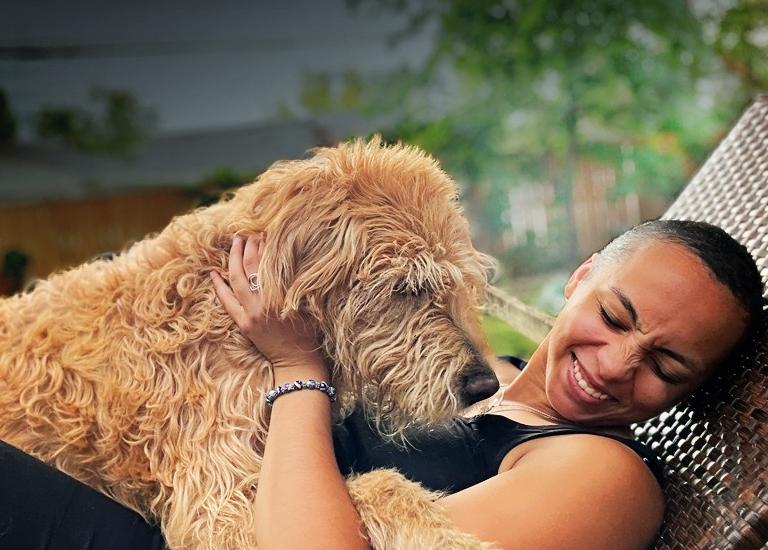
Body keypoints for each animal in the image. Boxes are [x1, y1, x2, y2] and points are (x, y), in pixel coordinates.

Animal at [0, 139, 498, 550]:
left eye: (461, 283)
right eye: (407, 287)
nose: (486, 385)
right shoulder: (215, 506)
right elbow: (376, 484)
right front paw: (446, 539)